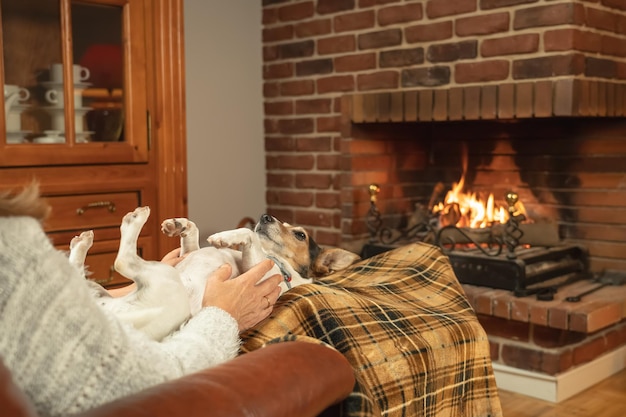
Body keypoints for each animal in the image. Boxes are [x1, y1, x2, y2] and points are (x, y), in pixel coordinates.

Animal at [69, 208, 358, 342]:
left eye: (299, 235)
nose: (265, 216)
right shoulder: (187, 253)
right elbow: (193, 236)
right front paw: (179, 225)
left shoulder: (258, 271)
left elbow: (248, 234)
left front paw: (226, 237)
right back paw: (81, 244)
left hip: (165, 280)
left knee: (123, 261)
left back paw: (133, 220)